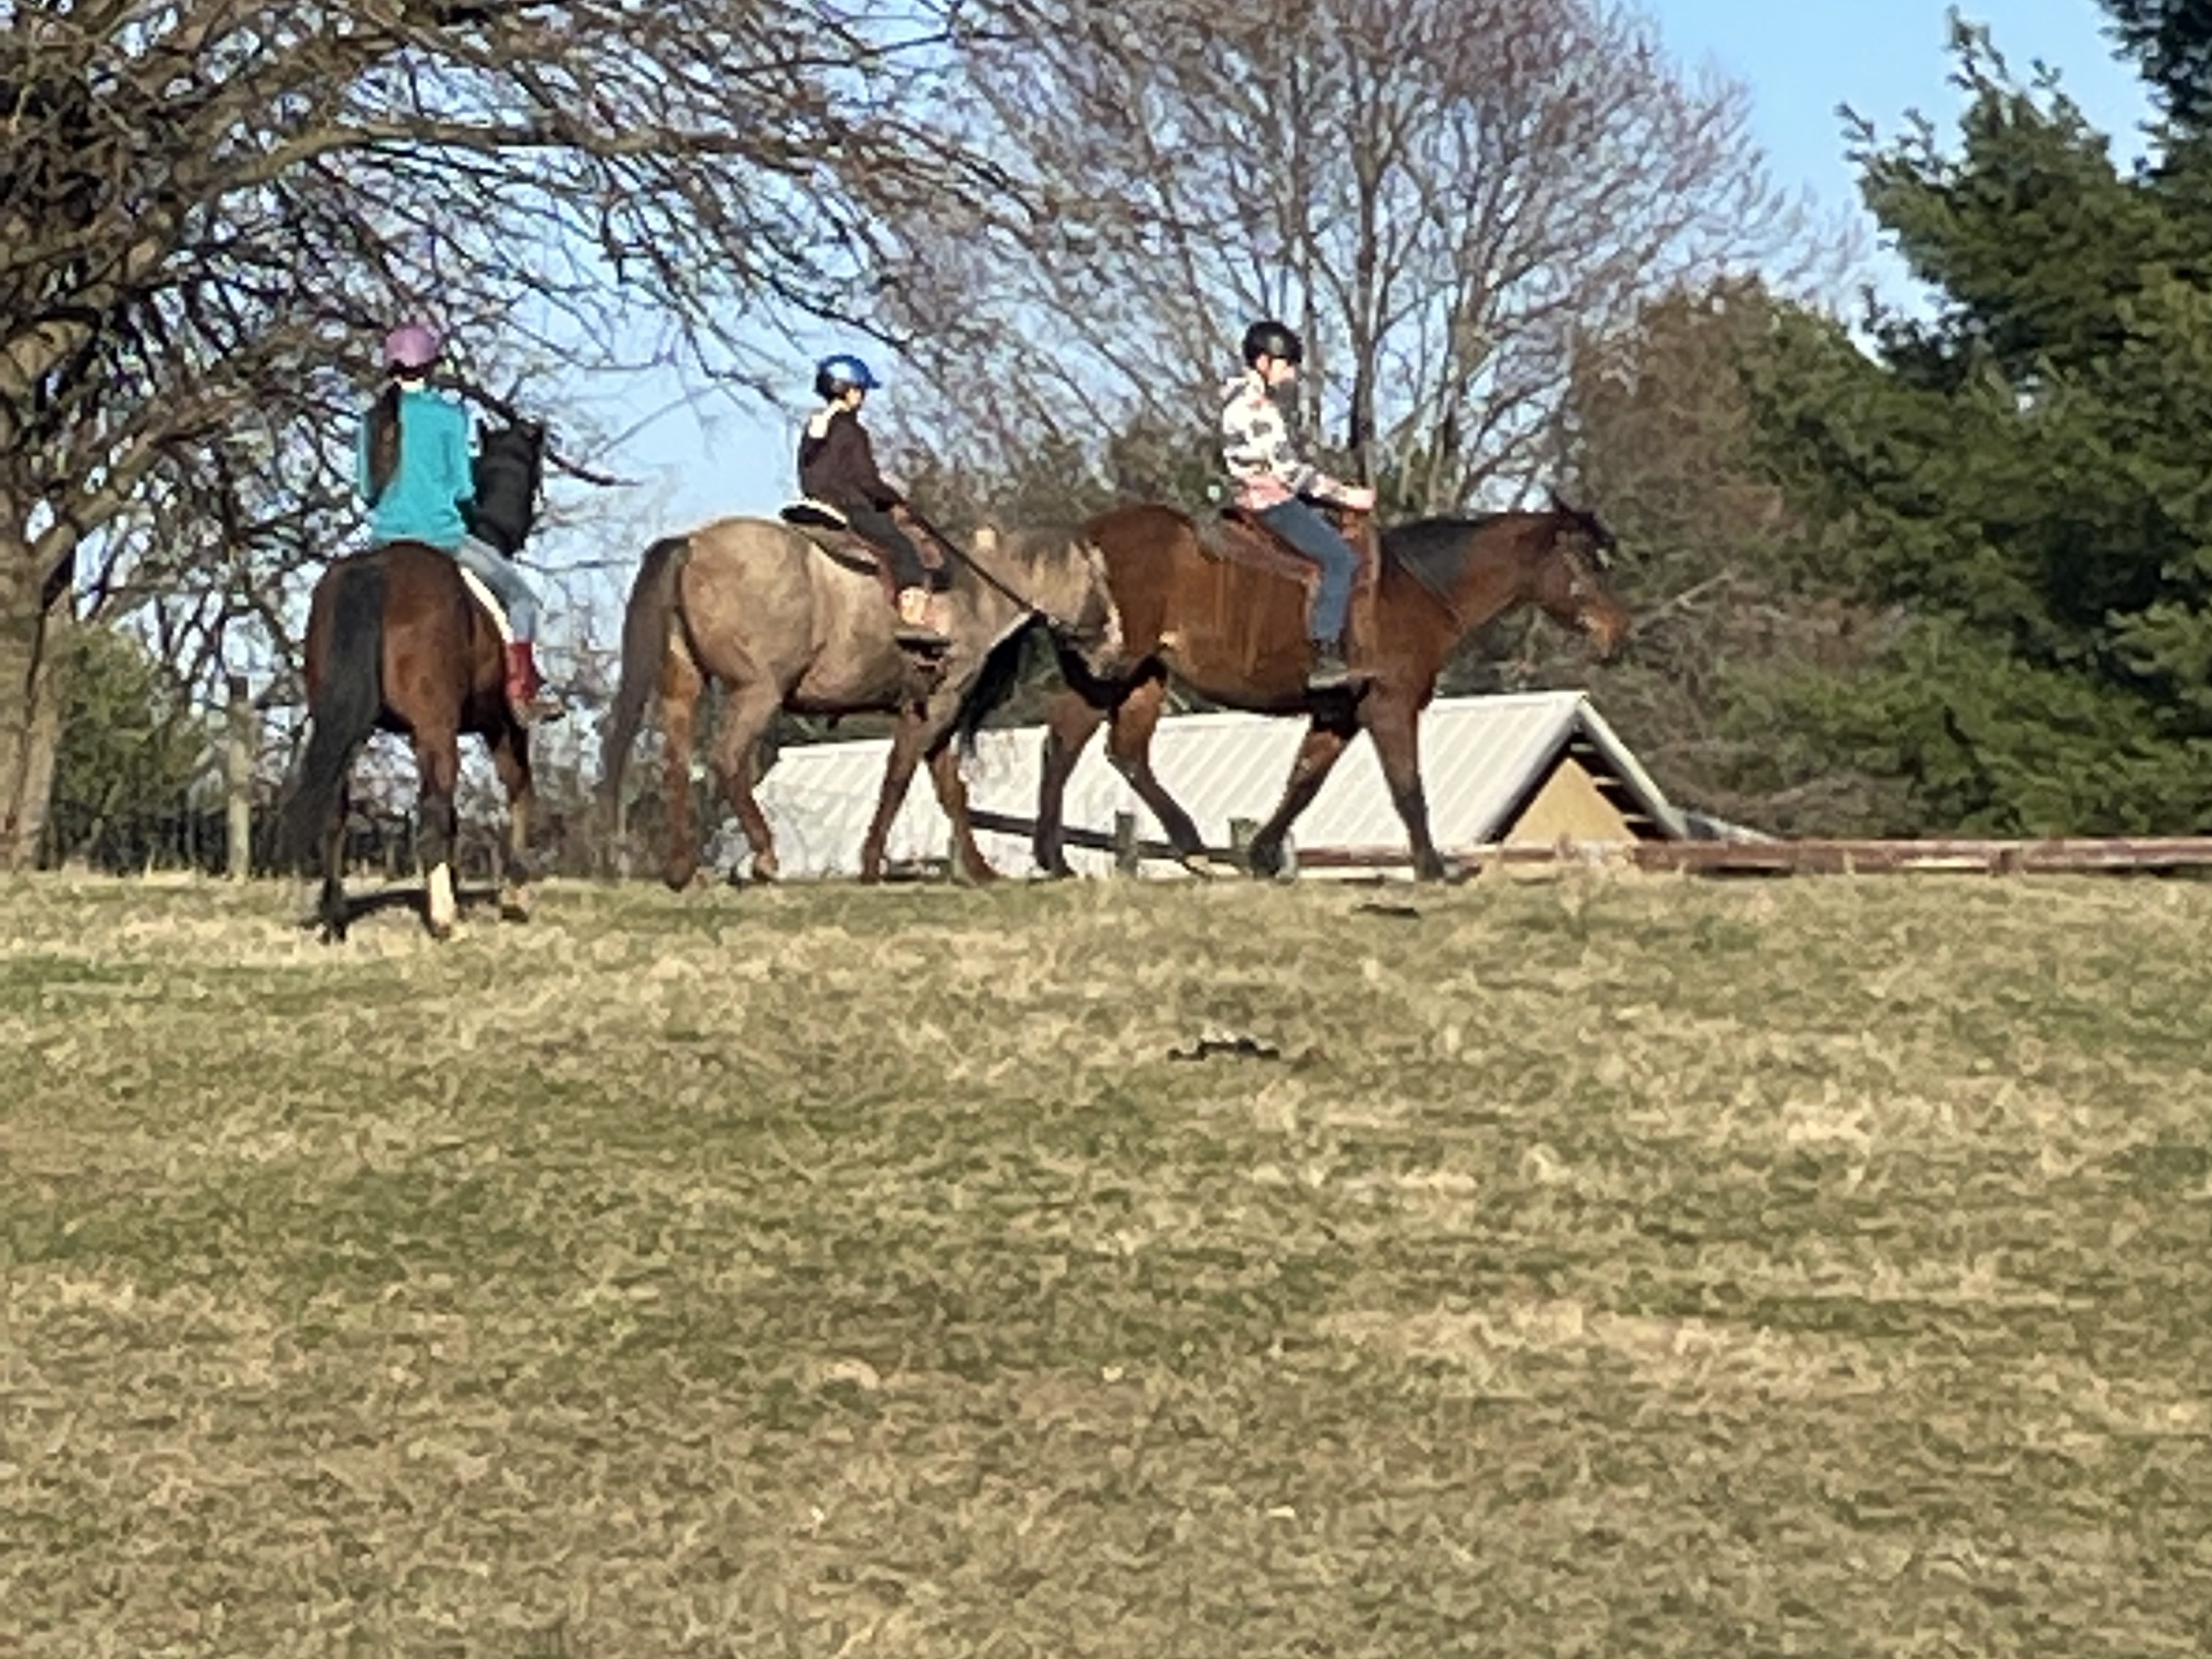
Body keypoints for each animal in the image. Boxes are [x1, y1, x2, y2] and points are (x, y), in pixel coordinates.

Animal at [276, 418, 553, 938]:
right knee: (433, 813)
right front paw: (514, 896)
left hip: (347, 727)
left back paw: (336, 914)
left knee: (337, 814)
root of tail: (378, 569)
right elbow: (519, 793)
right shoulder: (503, 724)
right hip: (437, 729)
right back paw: (444, 920)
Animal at [601, 513, 1124, 889]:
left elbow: (951, 791)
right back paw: (764, 858)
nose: (1116, 648)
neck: (973, 589)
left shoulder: (934, 715)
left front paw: (980, 870)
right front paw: (872, 864)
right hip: (757, 694)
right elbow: (898, 778)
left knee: (676, 765)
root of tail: (691, 544)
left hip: (682, 689)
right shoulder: (935, 709)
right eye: (1100, 580)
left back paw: (680, 870)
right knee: (728, 760)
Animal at [1026, 493, 1636, 884]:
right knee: (1070, 739)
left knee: (1114, 749)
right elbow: (1407, 786)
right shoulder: (1390, 707)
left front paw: (1261, 856)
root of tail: (1084, 539)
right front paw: (1433, 868)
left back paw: (1168, 849)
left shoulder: (1338, 714)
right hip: (1116, 670)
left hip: (1143, 675)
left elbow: (1303, 782)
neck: (1412, 588)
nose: (1616, 632)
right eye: (1584, 559)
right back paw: (1063, 857)